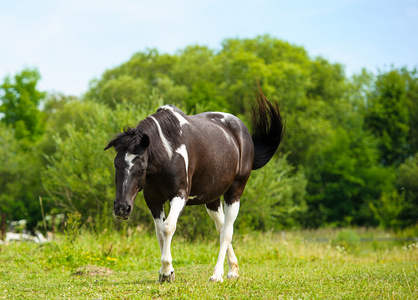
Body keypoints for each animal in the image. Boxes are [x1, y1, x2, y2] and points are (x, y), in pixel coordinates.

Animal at [106, 87, 286, 284]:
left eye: (141, 168)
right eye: (116, 164)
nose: (121, 208)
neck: (168, 150)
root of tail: (241, 130)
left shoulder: (180, 195)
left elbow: (168, 227)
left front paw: (167, 271)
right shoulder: (153, 200)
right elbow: (160, 233)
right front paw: (165, 272)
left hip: (235, 192)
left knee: (226, 232)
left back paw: (217, 274)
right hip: (213, 199)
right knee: (221, 227)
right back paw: (233, 269)